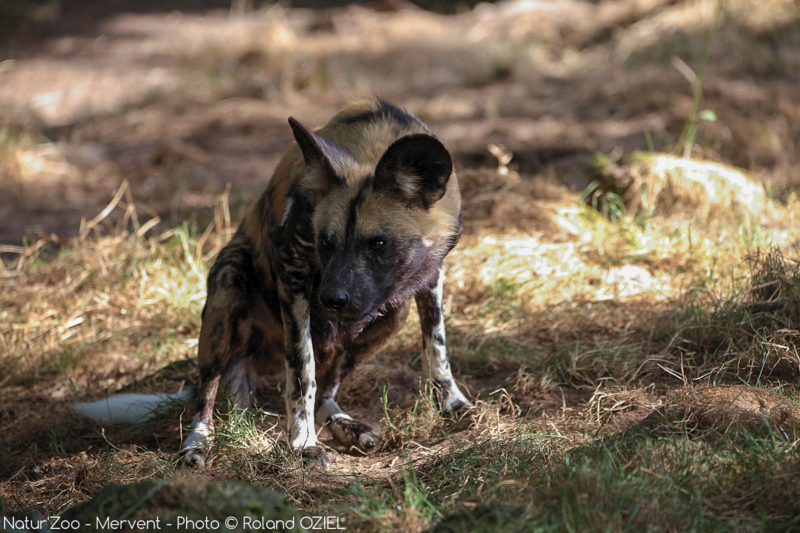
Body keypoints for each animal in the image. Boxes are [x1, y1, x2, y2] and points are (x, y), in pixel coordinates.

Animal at [74, 100, 468, 466]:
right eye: (326, 243)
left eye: (378, 244)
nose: (331, 300)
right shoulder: (292, 276)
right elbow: (303, 372)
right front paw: (303, 442)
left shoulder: (429, 276)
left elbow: (436, 345)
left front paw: (451, 402)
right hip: (227, 291)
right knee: (207, 393)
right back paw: (198, 444)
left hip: (389, 315)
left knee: (326, 392)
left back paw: (346, 425)